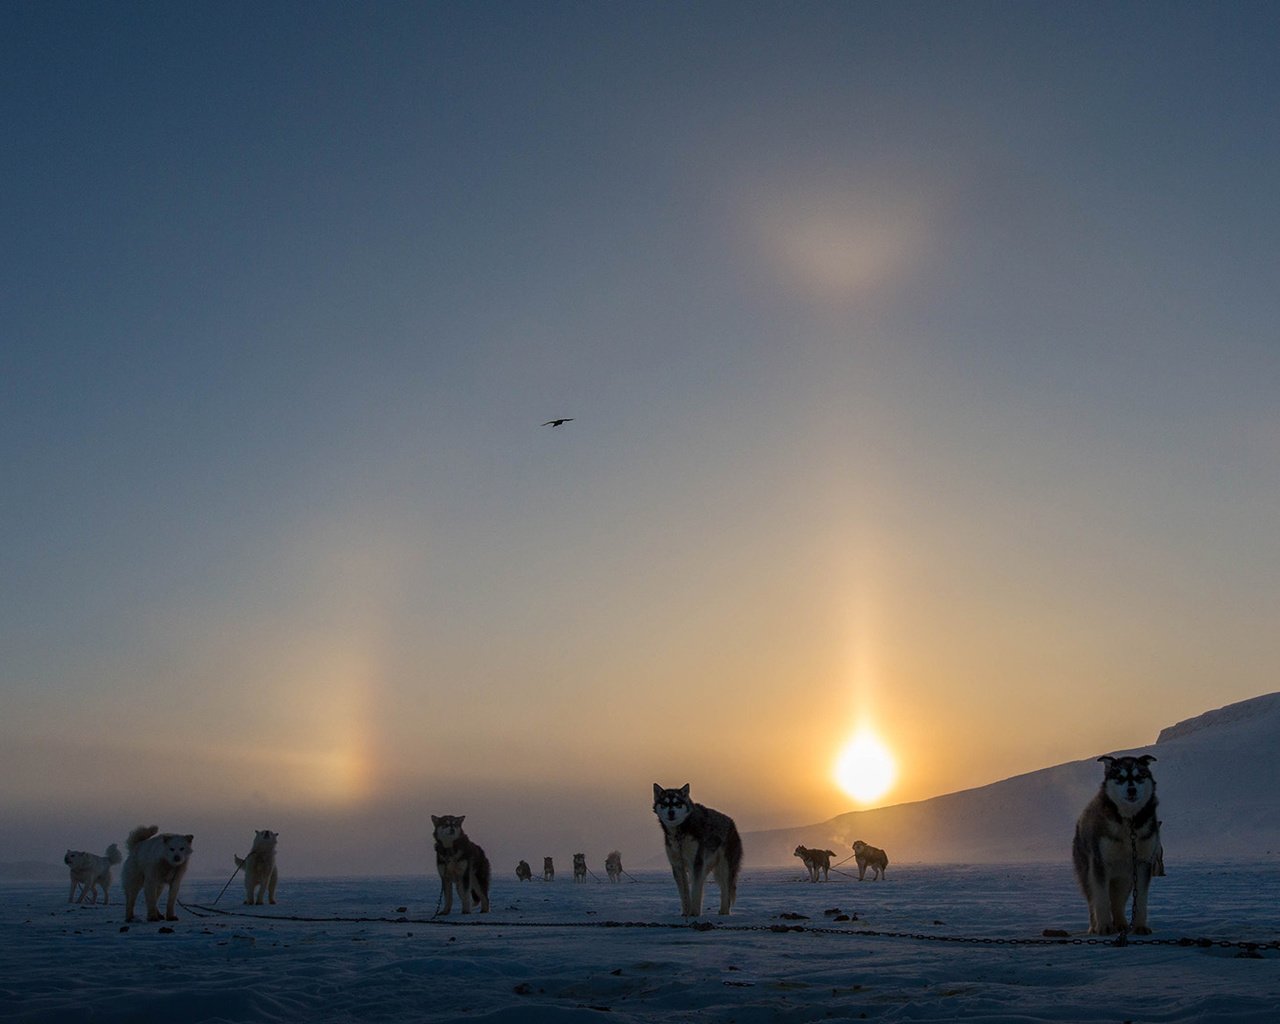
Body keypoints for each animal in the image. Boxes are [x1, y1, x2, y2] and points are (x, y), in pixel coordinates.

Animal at [655, 778, 747, 916]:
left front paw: (694, 913)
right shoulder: (678, 865)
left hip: (724, 868)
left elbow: (695, 890)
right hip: (712, 868)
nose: (671, 812)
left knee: (726, 891)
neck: (680, 832)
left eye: (678, 803)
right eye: (664, 804)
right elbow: (684, 893)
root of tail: (732, 824)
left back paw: (724, 912)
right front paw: (686, 912)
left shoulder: (697, 862)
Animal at [1070, 752, 1162, 936]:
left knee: (1117, 902)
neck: (1129, 822)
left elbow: (1141, 899)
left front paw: (1140, 926)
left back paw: (1121, 924)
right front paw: (1104, 926)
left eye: (1140, 776)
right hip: (1087, 872)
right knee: (1093, 900)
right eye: (1120, 777)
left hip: (1125, 877)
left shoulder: (1143, 864)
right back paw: (1094, 926)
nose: (1132, 789)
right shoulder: (1100, 864)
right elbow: (1101, 900)